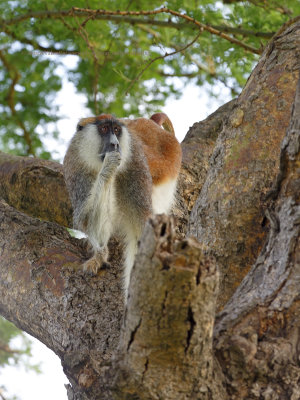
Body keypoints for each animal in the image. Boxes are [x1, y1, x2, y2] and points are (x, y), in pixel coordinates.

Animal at [63, 112, 182, 296]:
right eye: (105, 129)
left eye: (117, 130)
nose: (115, 144)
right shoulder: (74, 166)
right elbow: (87, 220)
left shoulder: (136, 165)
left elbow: (143, 230)